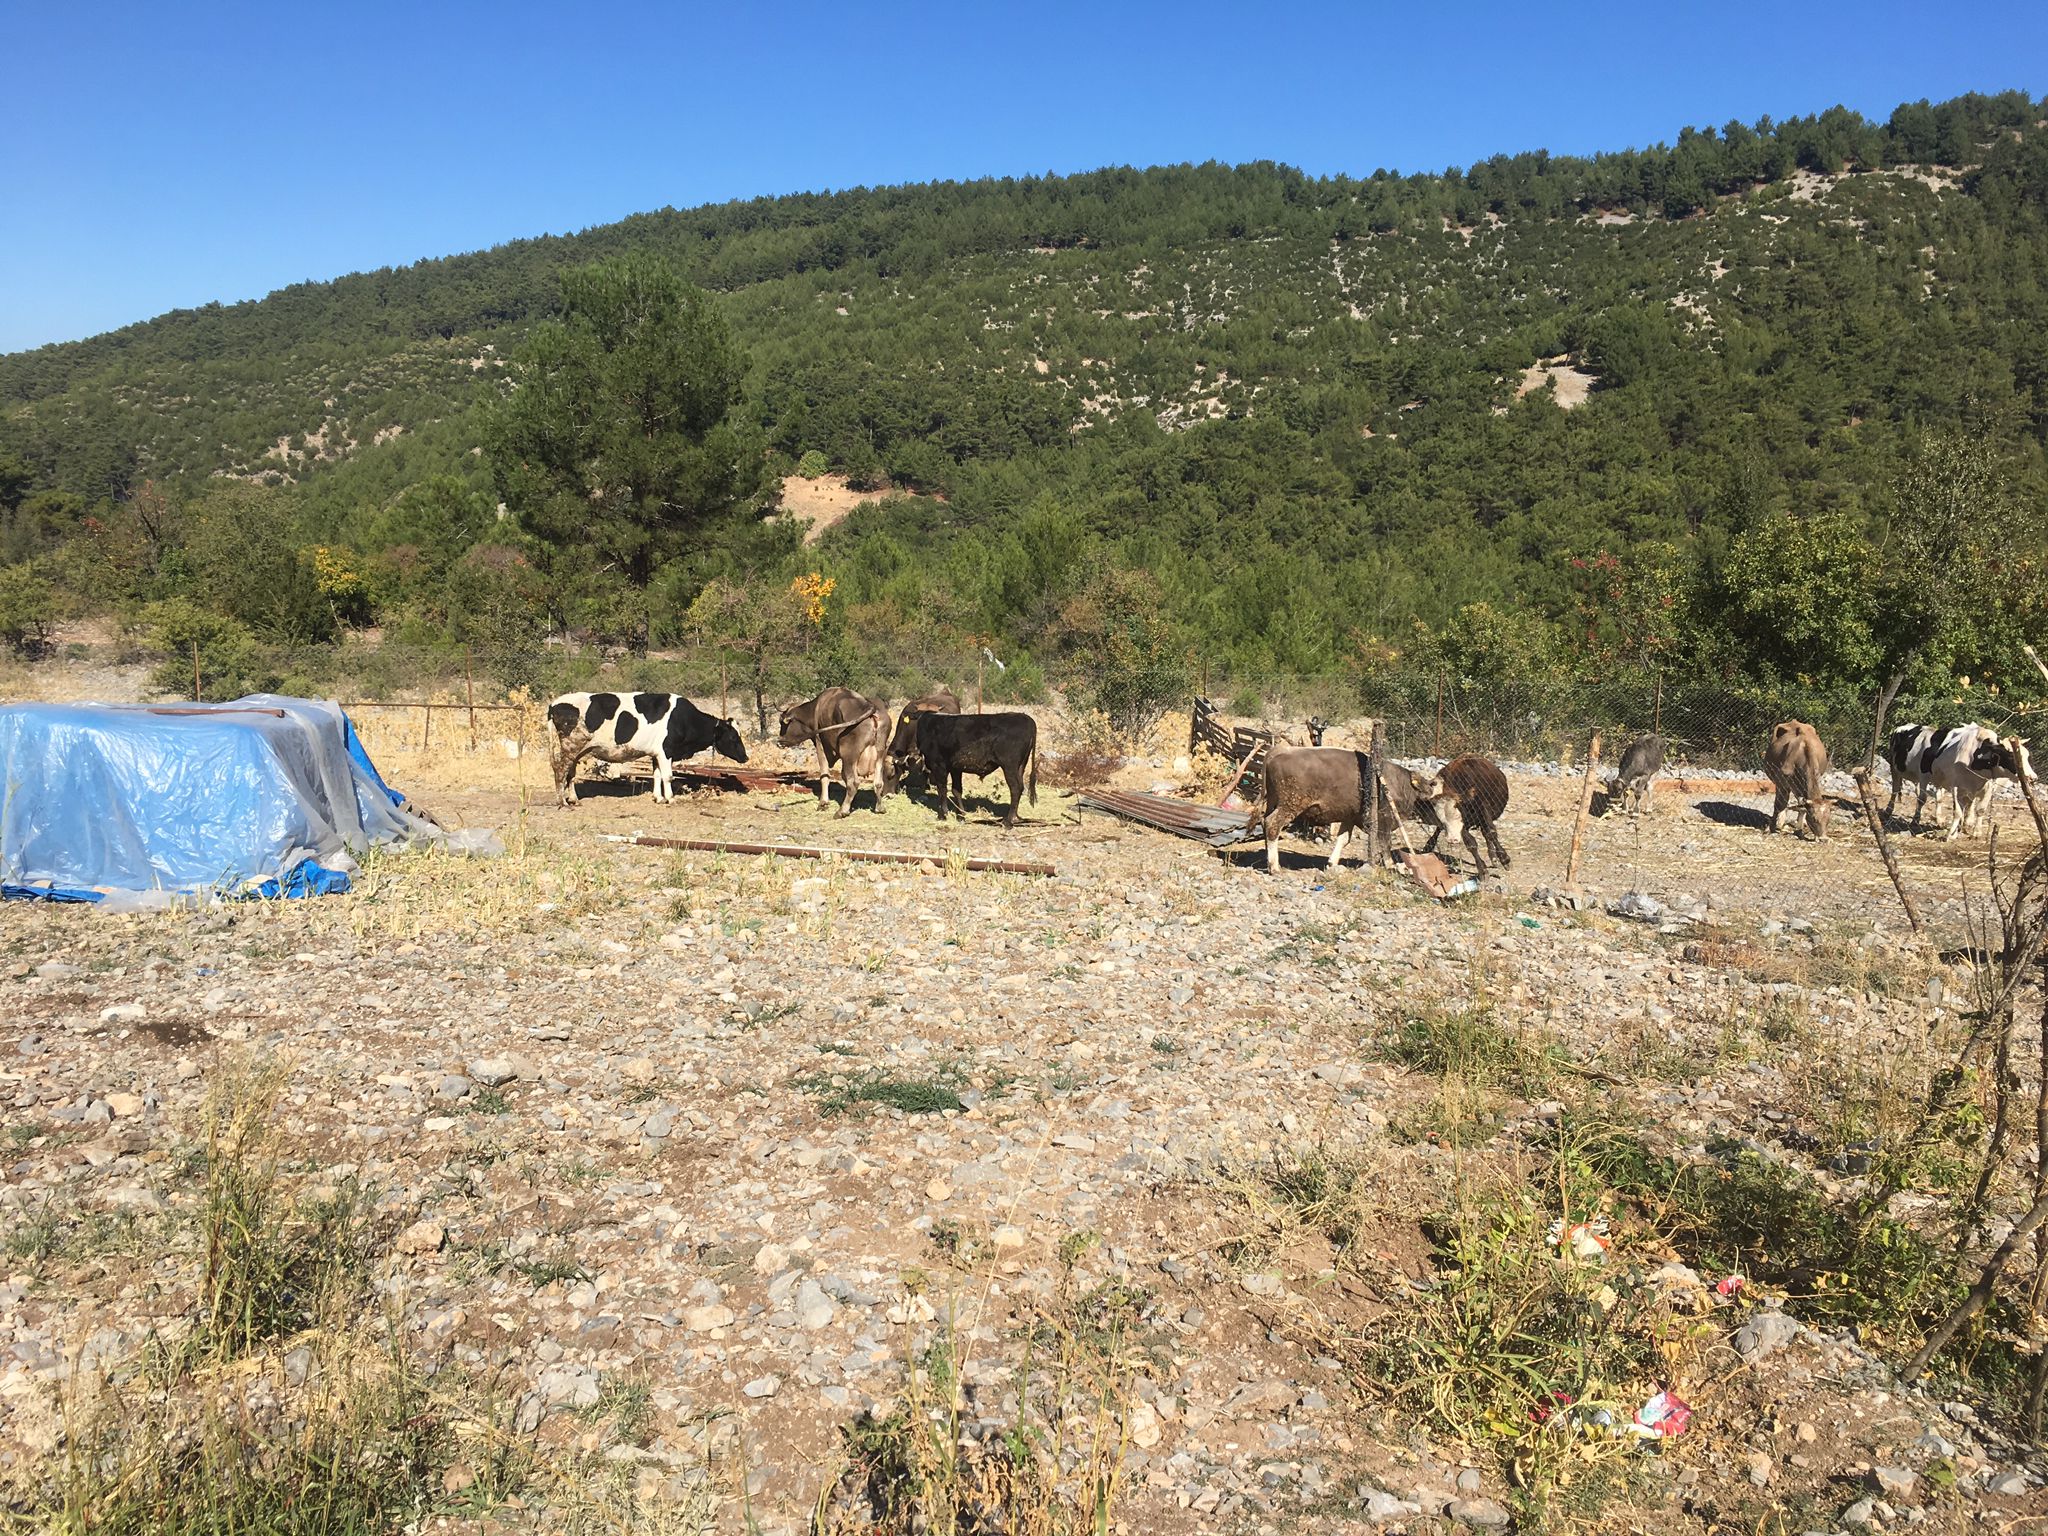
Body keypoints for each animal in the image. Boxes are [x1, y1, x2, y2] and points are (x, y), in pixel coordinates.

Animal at [548, 696, 749, 811]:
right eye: (733, 737)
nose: (746, 757)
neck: (684, 719)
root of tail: (553, 704)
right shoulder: (666, 750)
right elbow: (668, 776)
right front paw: (670, 799)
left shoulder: (656, 753)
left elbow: (657, 775)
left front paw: (658, 798)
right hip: (570, 746)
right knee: (560, 770)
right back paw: (562, 802)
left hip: (577, 749)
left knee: (570, 773)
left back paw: (574, 799)